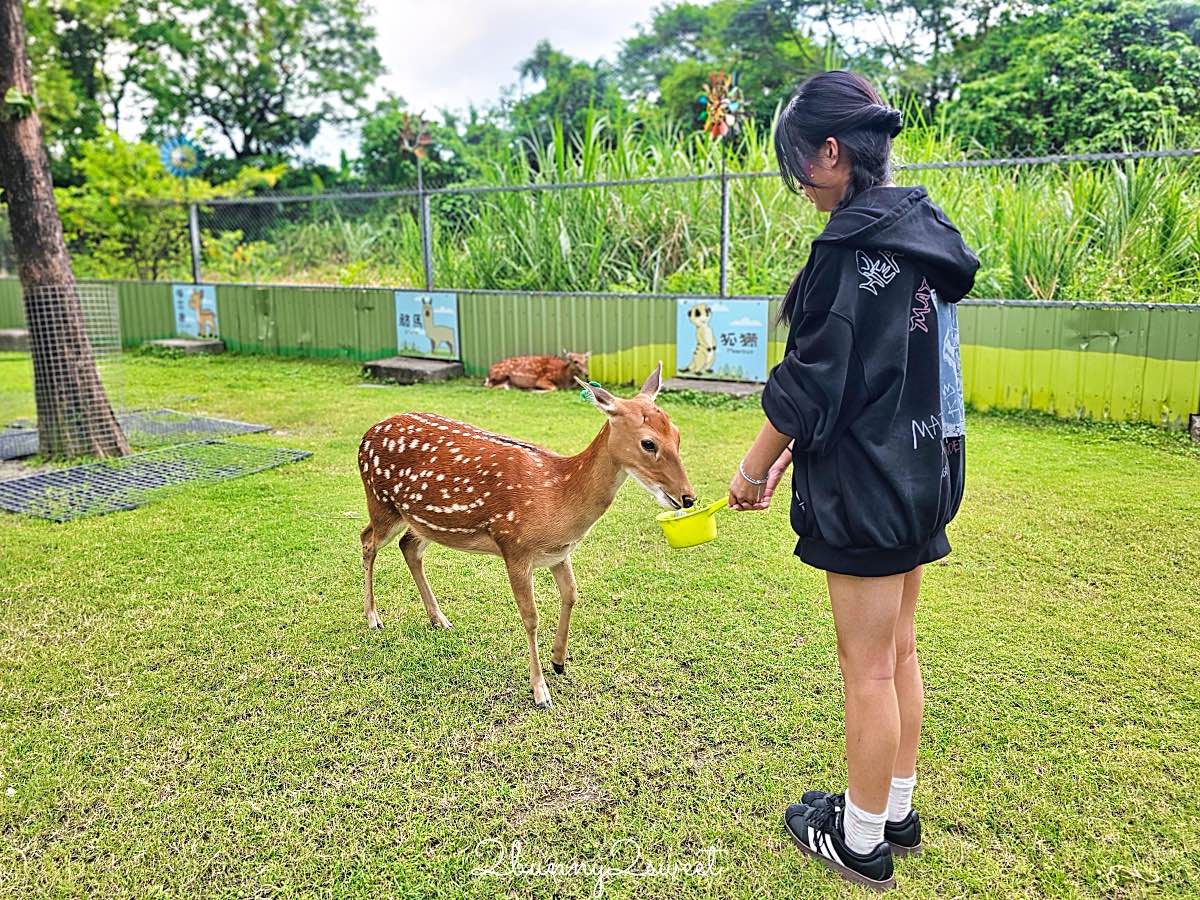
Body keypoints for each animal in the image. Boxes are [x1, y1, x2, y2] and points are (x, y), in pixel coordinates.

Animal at [357, 363, 695, 709]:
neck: (558, 497)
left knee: (408, 547)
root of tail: (367, 435)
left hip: (423, 521)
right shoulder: (514, 546)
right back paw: (373, 618)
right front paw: (540, 691)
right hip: (381, 502)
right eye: (648, 443)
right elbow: (531, 616)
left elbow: (571, 594)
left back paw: (439, 618)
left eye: (678, 435)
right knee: (367, 539)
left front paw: (559, 661)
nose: (688, 498)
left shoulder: (559, 553)